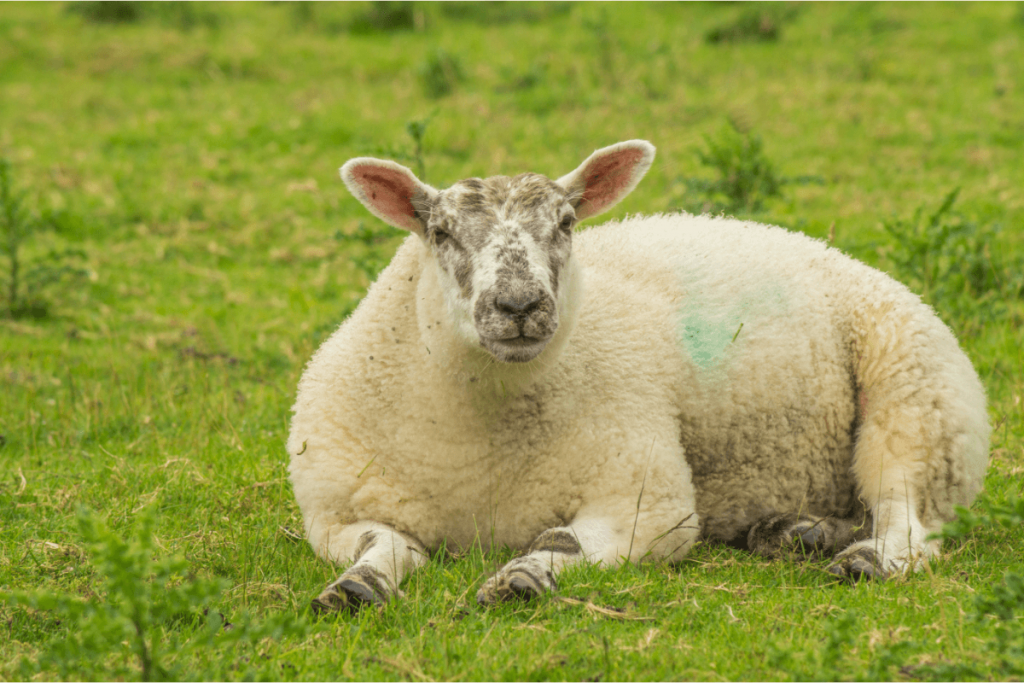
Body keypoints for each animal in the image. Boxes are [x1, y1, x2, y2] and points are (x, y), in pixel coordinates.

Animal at [284, 141, 987, 610]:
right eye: (439, 232)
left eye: (566, 223)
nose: (519, 306)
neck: (475, 456)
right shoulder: (334, 513)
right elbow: (385, 546)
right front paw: (354, 586)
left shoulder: (649, 496)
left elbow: (565, 540)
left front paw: (523, 577)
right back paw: (796, 531)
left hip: (919, 397)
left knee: (908, 515)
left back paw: (866, 558)